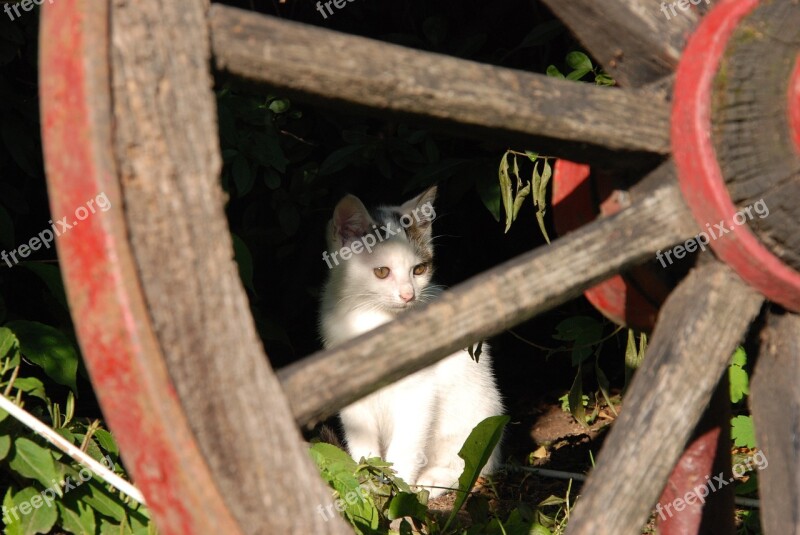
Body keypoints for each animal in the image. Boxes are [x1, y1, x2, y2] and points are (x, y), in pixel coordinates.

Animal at [318, 187, 500, 498]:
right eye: (382, 272)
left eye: (419, 270)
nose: (408, 295)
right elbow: (362, 442)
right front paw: (366, 486)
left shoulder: (419, 393)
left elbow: (407, 445)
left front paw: (399, 492)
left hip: (478, 418)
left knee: (474, 465)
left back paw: (433, 481)